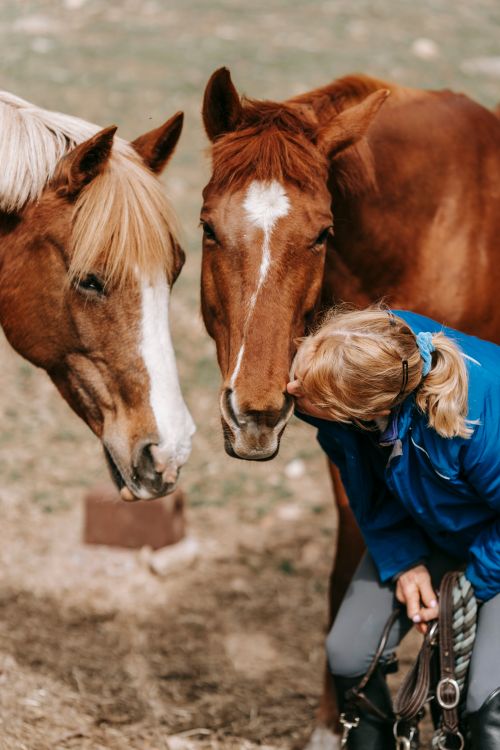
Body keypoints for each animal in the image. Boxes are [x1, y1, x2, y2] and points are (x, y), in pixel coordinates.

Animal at [199, 68, 500, 748]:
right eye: (207, 227)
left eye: (322, 233)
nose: (254, 415)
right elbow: (350, 565)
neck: (432, 227)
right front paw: (329, 719)